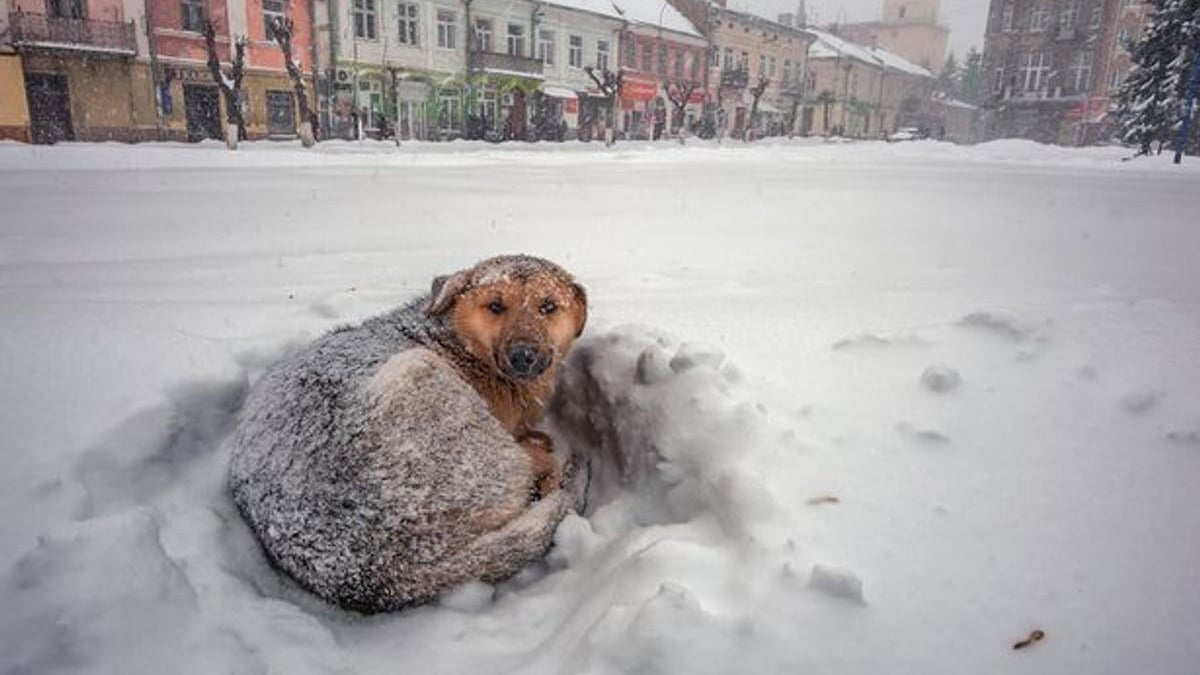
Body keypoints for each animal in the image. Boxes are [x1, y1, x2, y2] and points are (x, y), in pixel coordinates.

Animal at [228, 252, 585, 610]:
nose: (523, 356)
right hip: (422, 381)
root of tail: (385, 572)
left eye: (548, 307)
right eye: (495, 306)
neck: (460, 344)